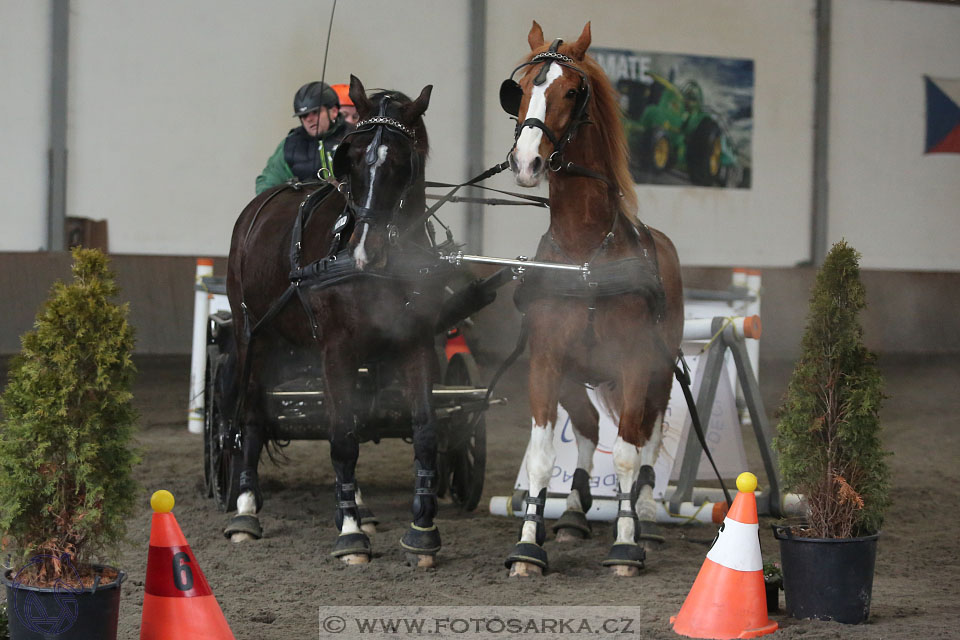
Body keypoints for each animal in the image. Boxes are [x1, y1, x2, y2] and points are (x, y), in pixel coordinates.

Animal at [223, 76, 448, 564]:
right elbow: (342, 438)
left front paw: (422, 531)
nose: (365, 252)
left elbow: (424, 431)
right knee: (251, 416)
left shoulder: (415, 340)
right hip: (254, 337)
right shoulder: (336, 347)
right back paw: (245, 509)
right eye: (354, 159)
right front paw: (350, 534)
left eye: (401, 162)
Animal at [498, 22, 688, 576]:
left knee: (648, 436)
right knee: (585, 427)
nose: (527, 161)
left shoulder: (633, 362)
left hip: (660, 371)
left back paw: (646, 514)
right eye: (522, 89)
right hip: (574, 376)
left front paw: (626, 544)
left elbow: (627, 454)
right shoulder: (546, 361)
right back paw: (572, 515)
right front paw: (528, 547)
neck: (585, 251)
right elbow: (542, 457)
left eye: (571, 92)